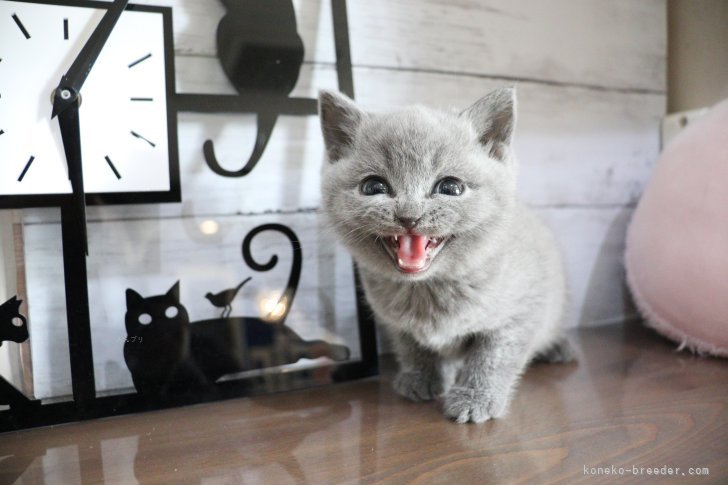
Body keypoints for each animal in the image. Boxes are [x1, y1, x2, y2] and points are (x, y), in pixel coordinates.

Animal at [318, 88, 576, 424]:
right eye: (373, 186)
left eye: (450, 187)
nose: (409, 215)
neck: (427, 290)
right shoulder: (392, 319)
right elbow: (411, 346)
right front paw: (420, 378)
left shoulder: (525, 309)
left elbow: (493, 356)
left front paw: (476, 398)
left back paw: (558, 348)